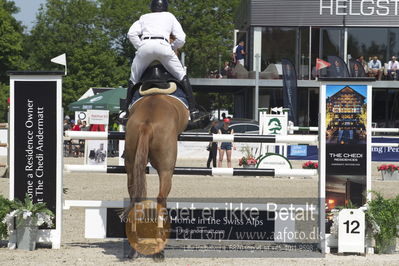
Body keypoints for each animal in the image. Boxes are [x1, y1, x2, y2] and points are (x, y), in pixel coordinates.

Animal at [124, 93, 188, 258]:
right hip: (166, 170)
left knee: (136, 197)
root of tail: (147, 124)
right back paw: (160, 246)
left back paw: (134, 248)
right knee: (161, 198)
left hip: (131, 165)